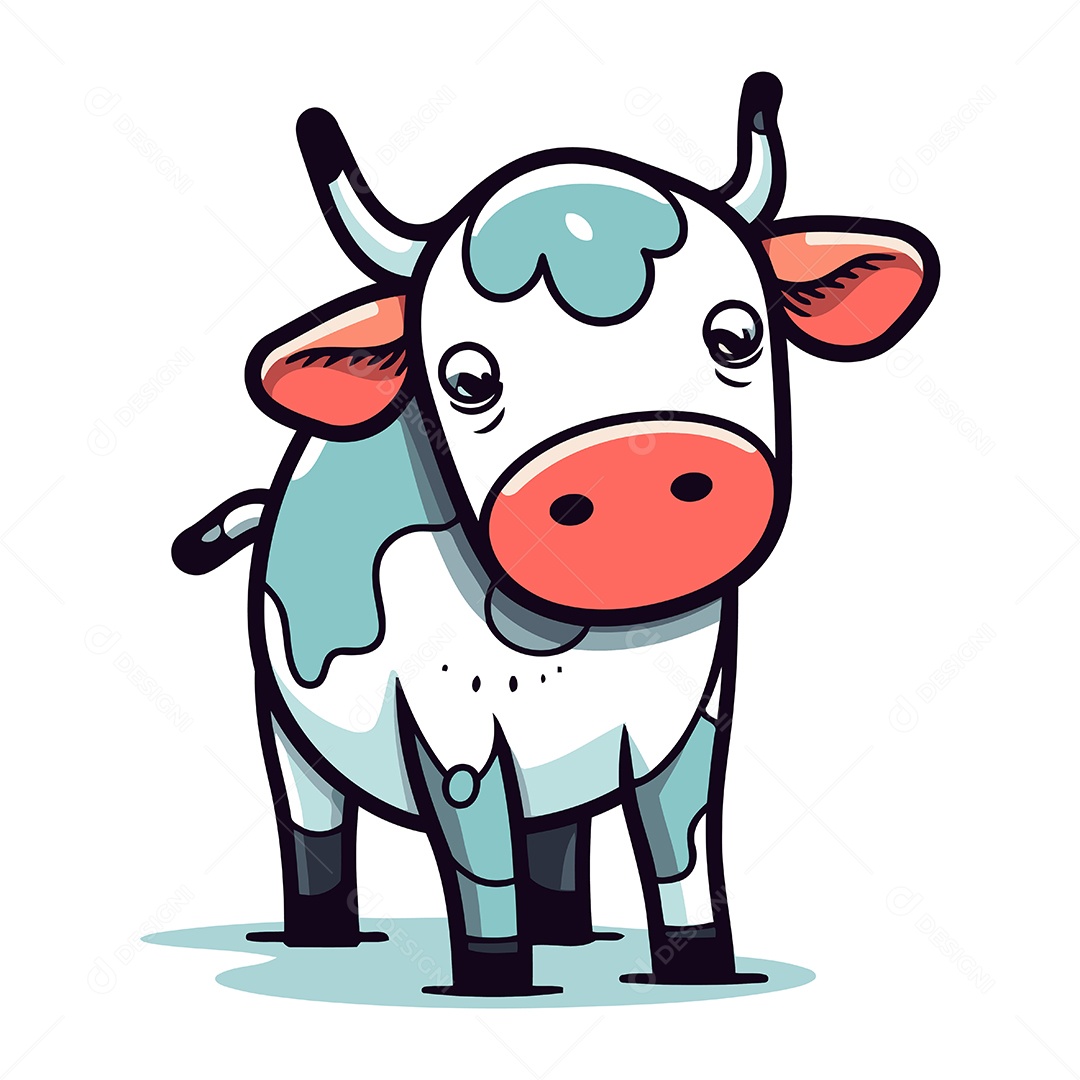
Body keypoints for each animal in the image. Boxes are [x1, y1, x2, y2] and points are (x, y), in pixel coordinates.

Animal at [172, 72, 938, 997]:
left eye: (737, 334)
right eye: (468, 379)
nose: (636, 464)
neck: (572, 646)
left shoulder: (691, 711)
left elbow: (682, 842)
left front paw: (698, 971)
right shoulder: (451, 731)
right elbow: (480, 857)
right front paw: (494, 983)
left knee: (556, 832)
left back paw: (572, 939)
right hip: (280, 721)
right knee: (314, 820)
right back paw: (325, 941)